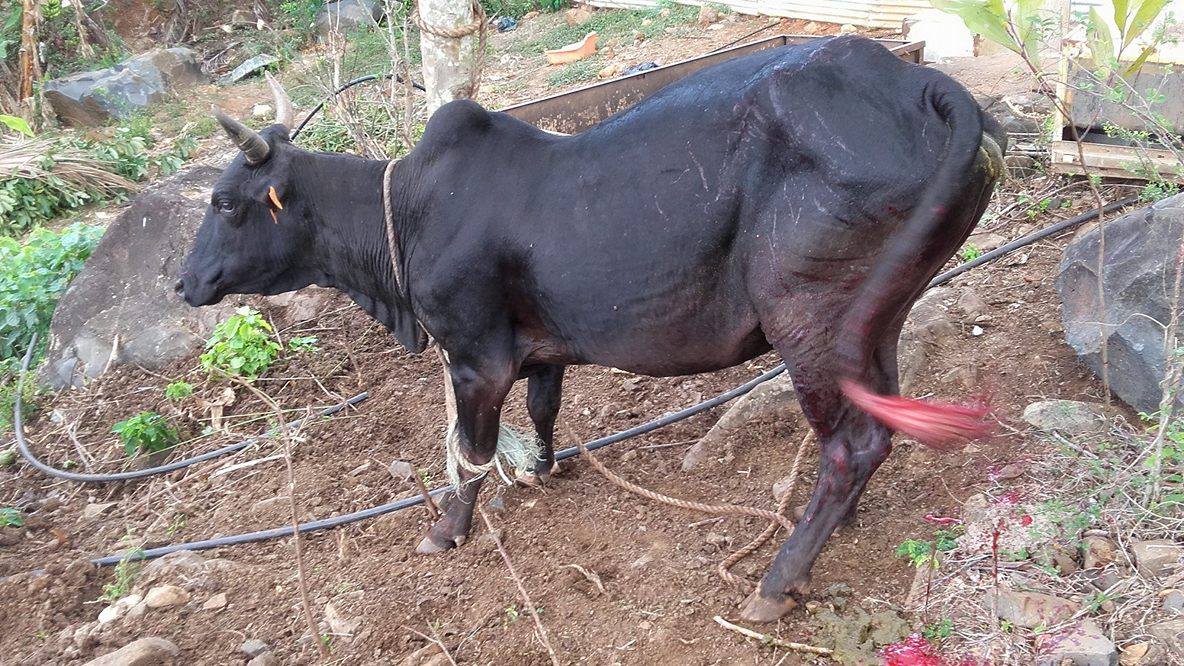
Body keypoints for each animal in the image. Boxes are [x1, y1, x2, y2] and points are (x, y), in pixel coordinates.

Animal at [177, 35, 1005, 622]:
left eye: (224, 202)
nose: (184, 283)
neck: (407, 213)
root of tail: (917, 82)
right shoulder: (543, 348)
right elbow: (545, 410)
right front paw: (546, 468)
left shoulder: (474, 356)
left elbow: (471, 453)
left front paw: (447, 529)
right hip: (878, 315)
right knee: (876, 424)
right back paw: (838, 525)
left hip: (809, 321)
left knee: (847, 445)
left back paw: (778, 578)